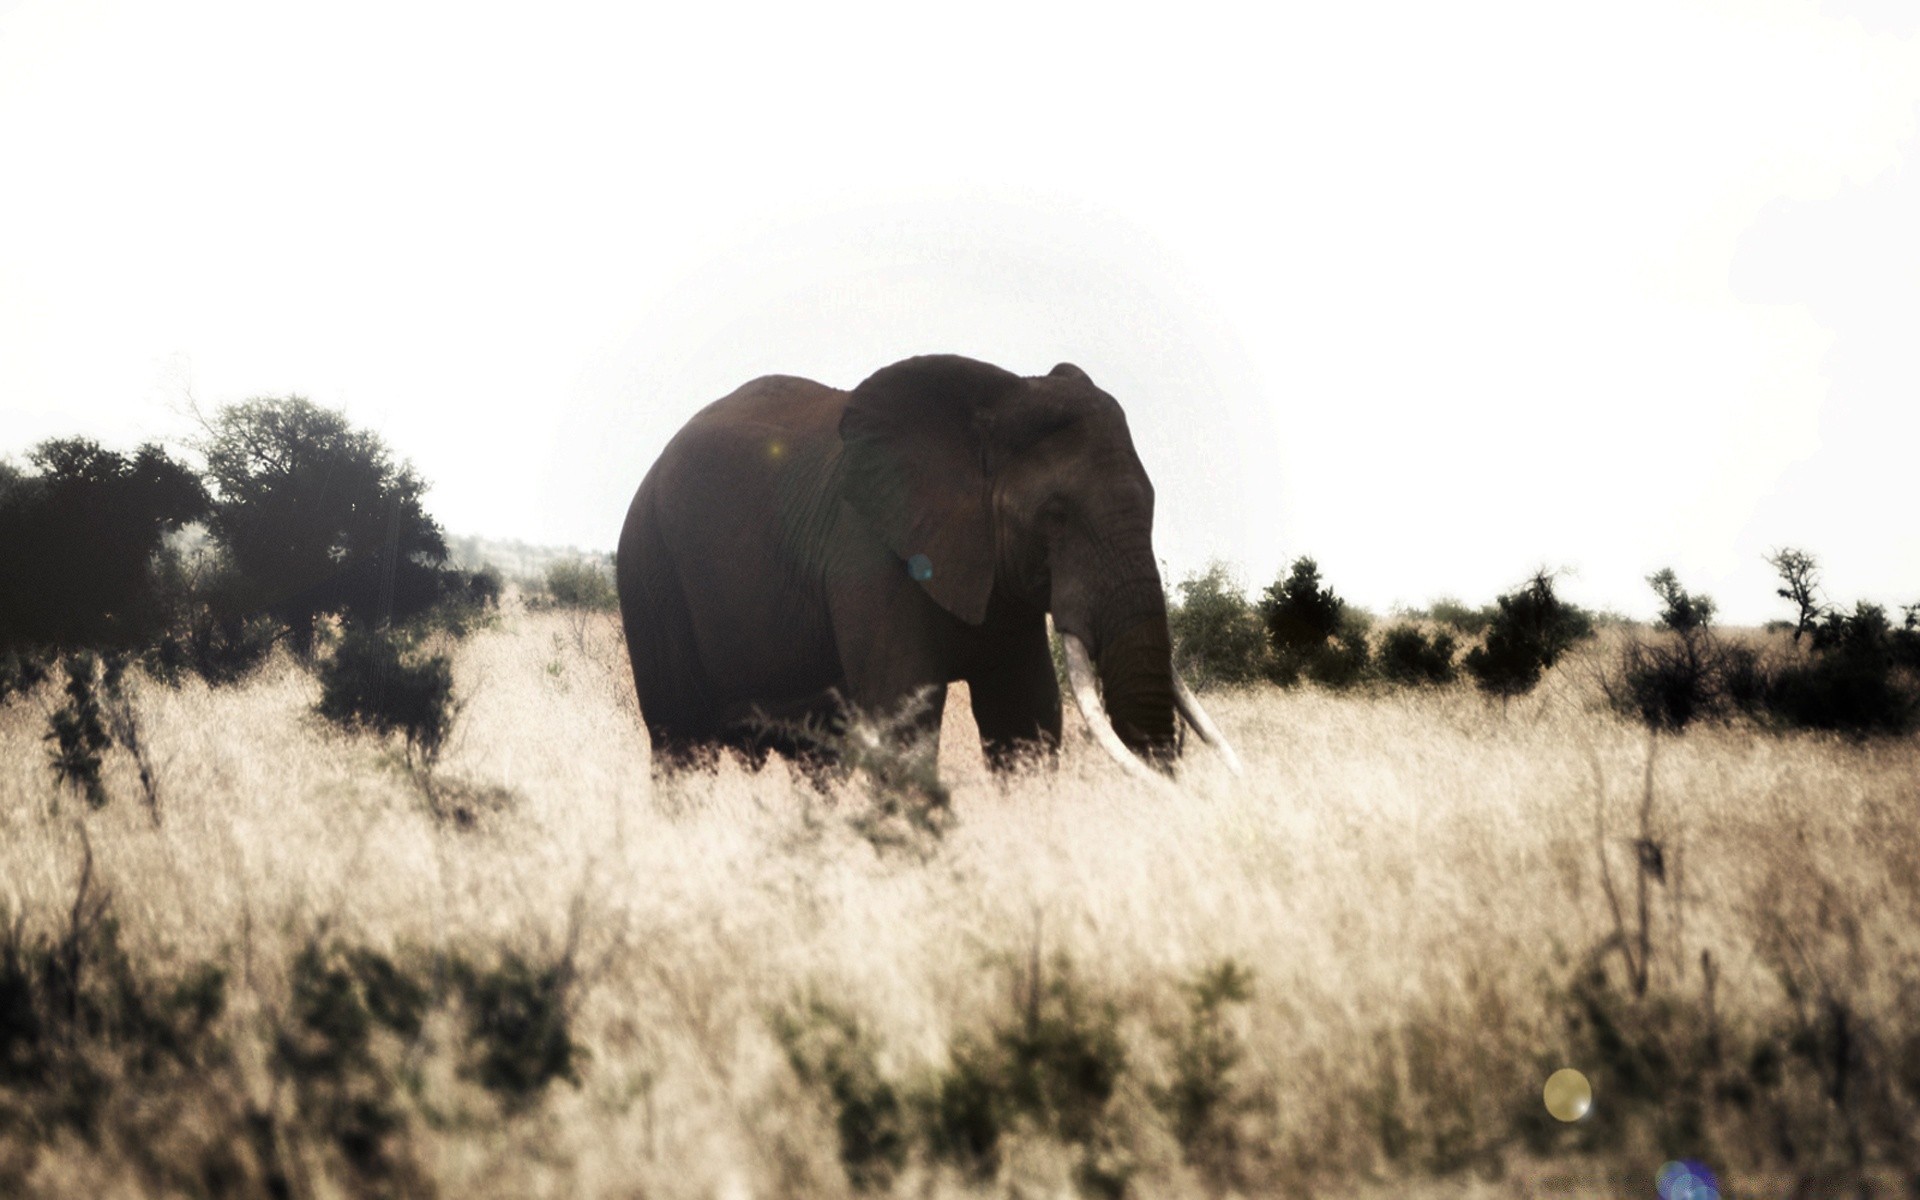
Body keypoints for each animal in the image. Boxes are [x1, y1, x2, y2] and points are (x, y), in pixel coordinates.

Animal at [614, 351, 1244, 783]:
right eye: (1055, 515)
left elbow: (1025, 717)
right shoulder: (869, 553)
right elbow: (904, 722)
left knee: (816, 759)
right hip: (649, 570)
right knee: (682, 744)